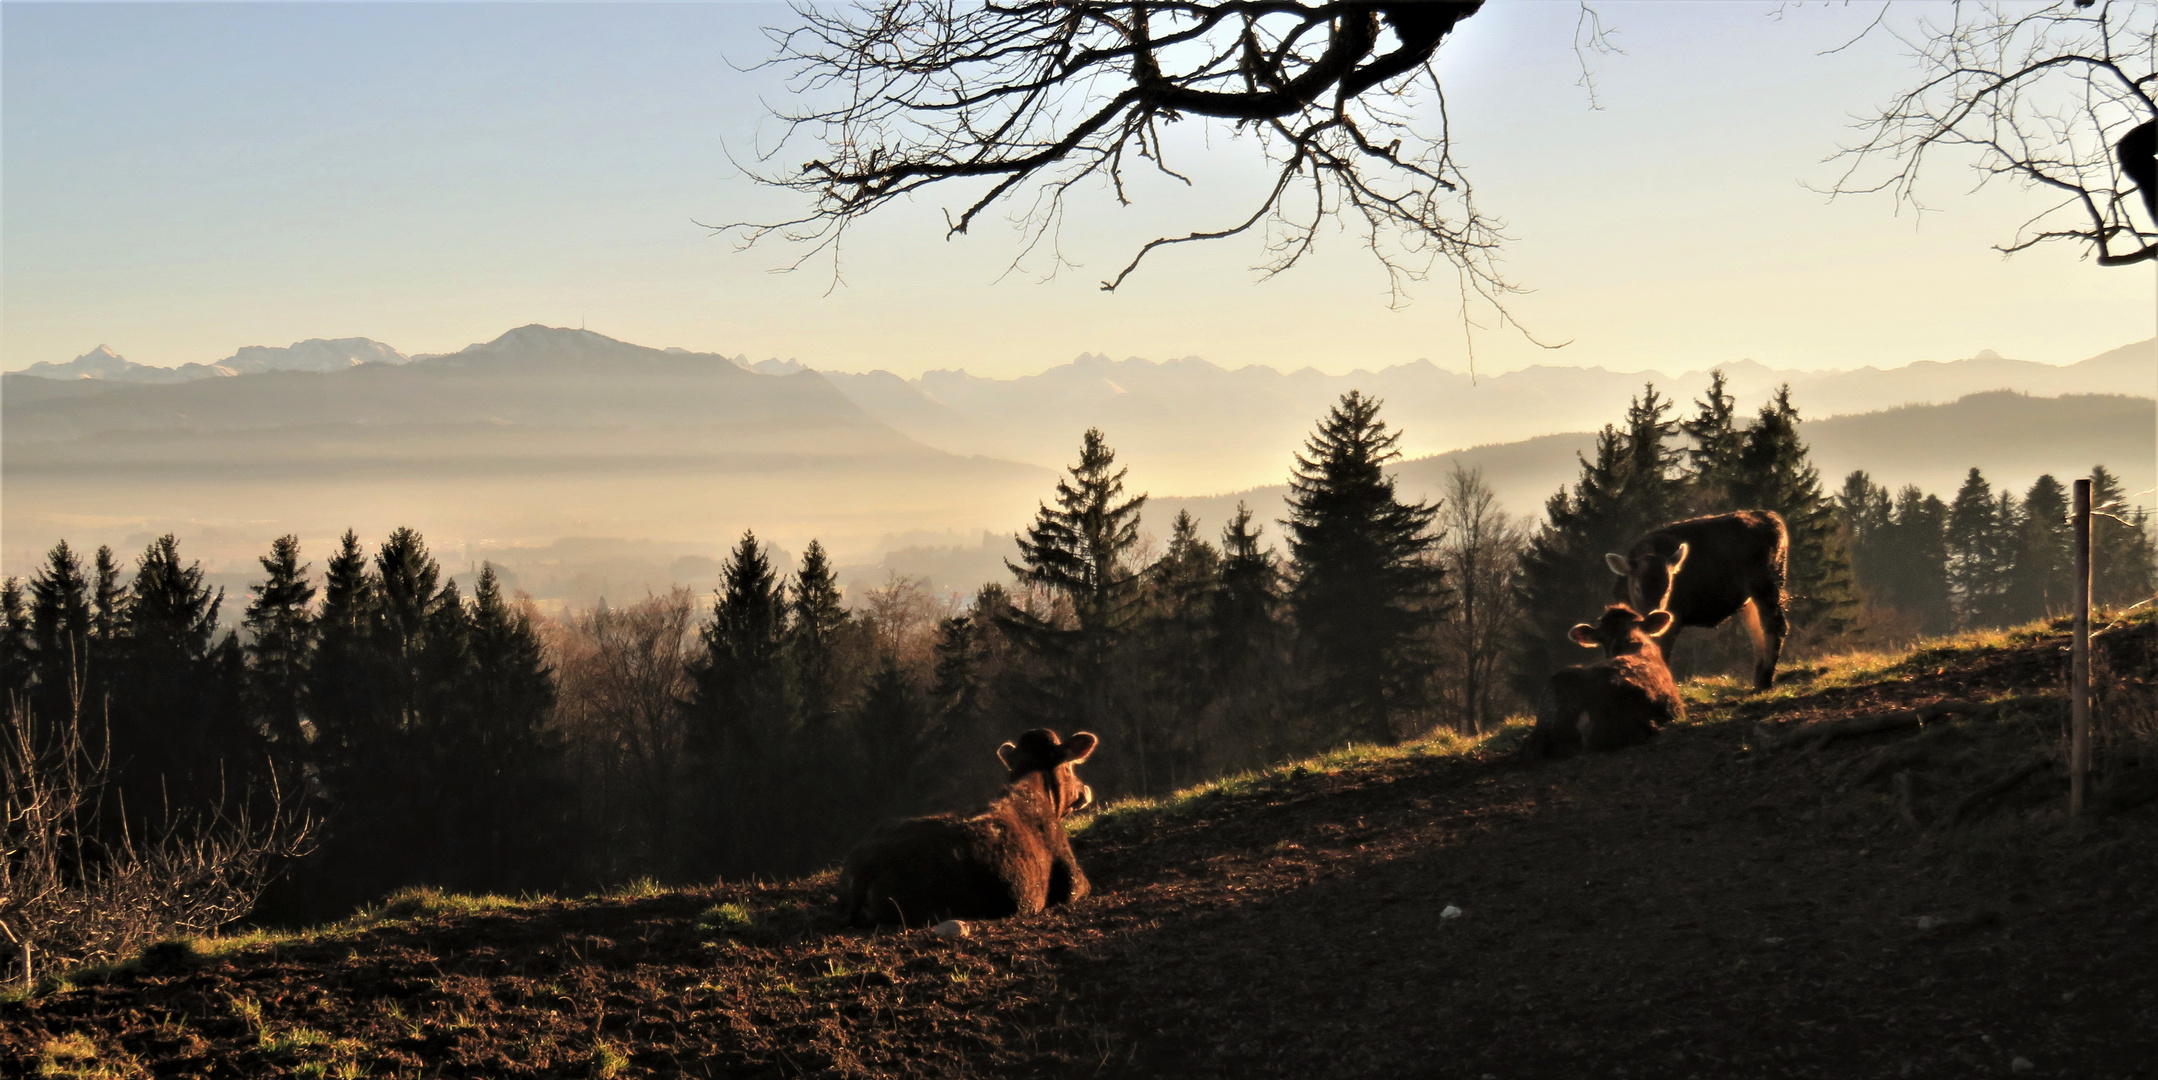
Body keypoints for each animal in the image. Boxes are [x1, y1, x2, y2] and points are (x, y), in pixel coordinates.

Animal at [1605, 507, 1786, 691]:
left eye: (1668, 588)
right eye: (1637, 588)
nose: (1655, 614)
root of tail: (1769, 516)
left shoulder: (1673, 619)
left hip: (1767, 585)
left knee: (1775, 626)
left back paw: (1764, 681)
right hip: (1750, 600)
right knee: (1757, 631)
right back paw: (1758, 681)